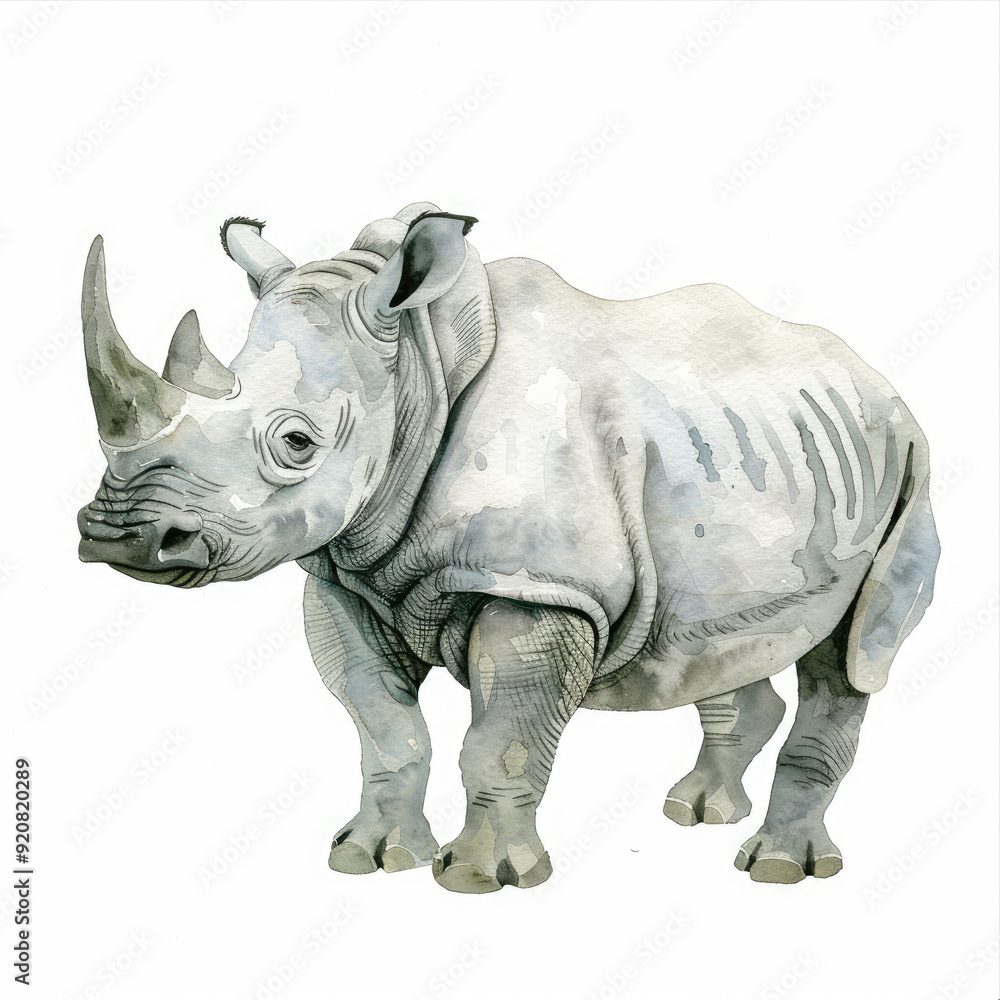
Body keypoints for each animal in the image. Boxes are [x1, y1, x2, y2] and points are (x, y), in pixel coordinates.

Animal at [77, 202, 939, 892]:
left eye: (296, 443)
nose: (120, 533)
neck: (419, 365)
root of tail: (873, 377)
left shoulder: (541, 585)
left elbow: (501, 742)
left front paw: (479, 878)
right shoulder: (345, 574)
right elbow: (384, 727)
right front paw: (368, 858)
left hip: (901, 461)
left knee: (853, 651)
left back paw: (779, 866)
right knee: (720, 631)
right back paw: (697, 811)